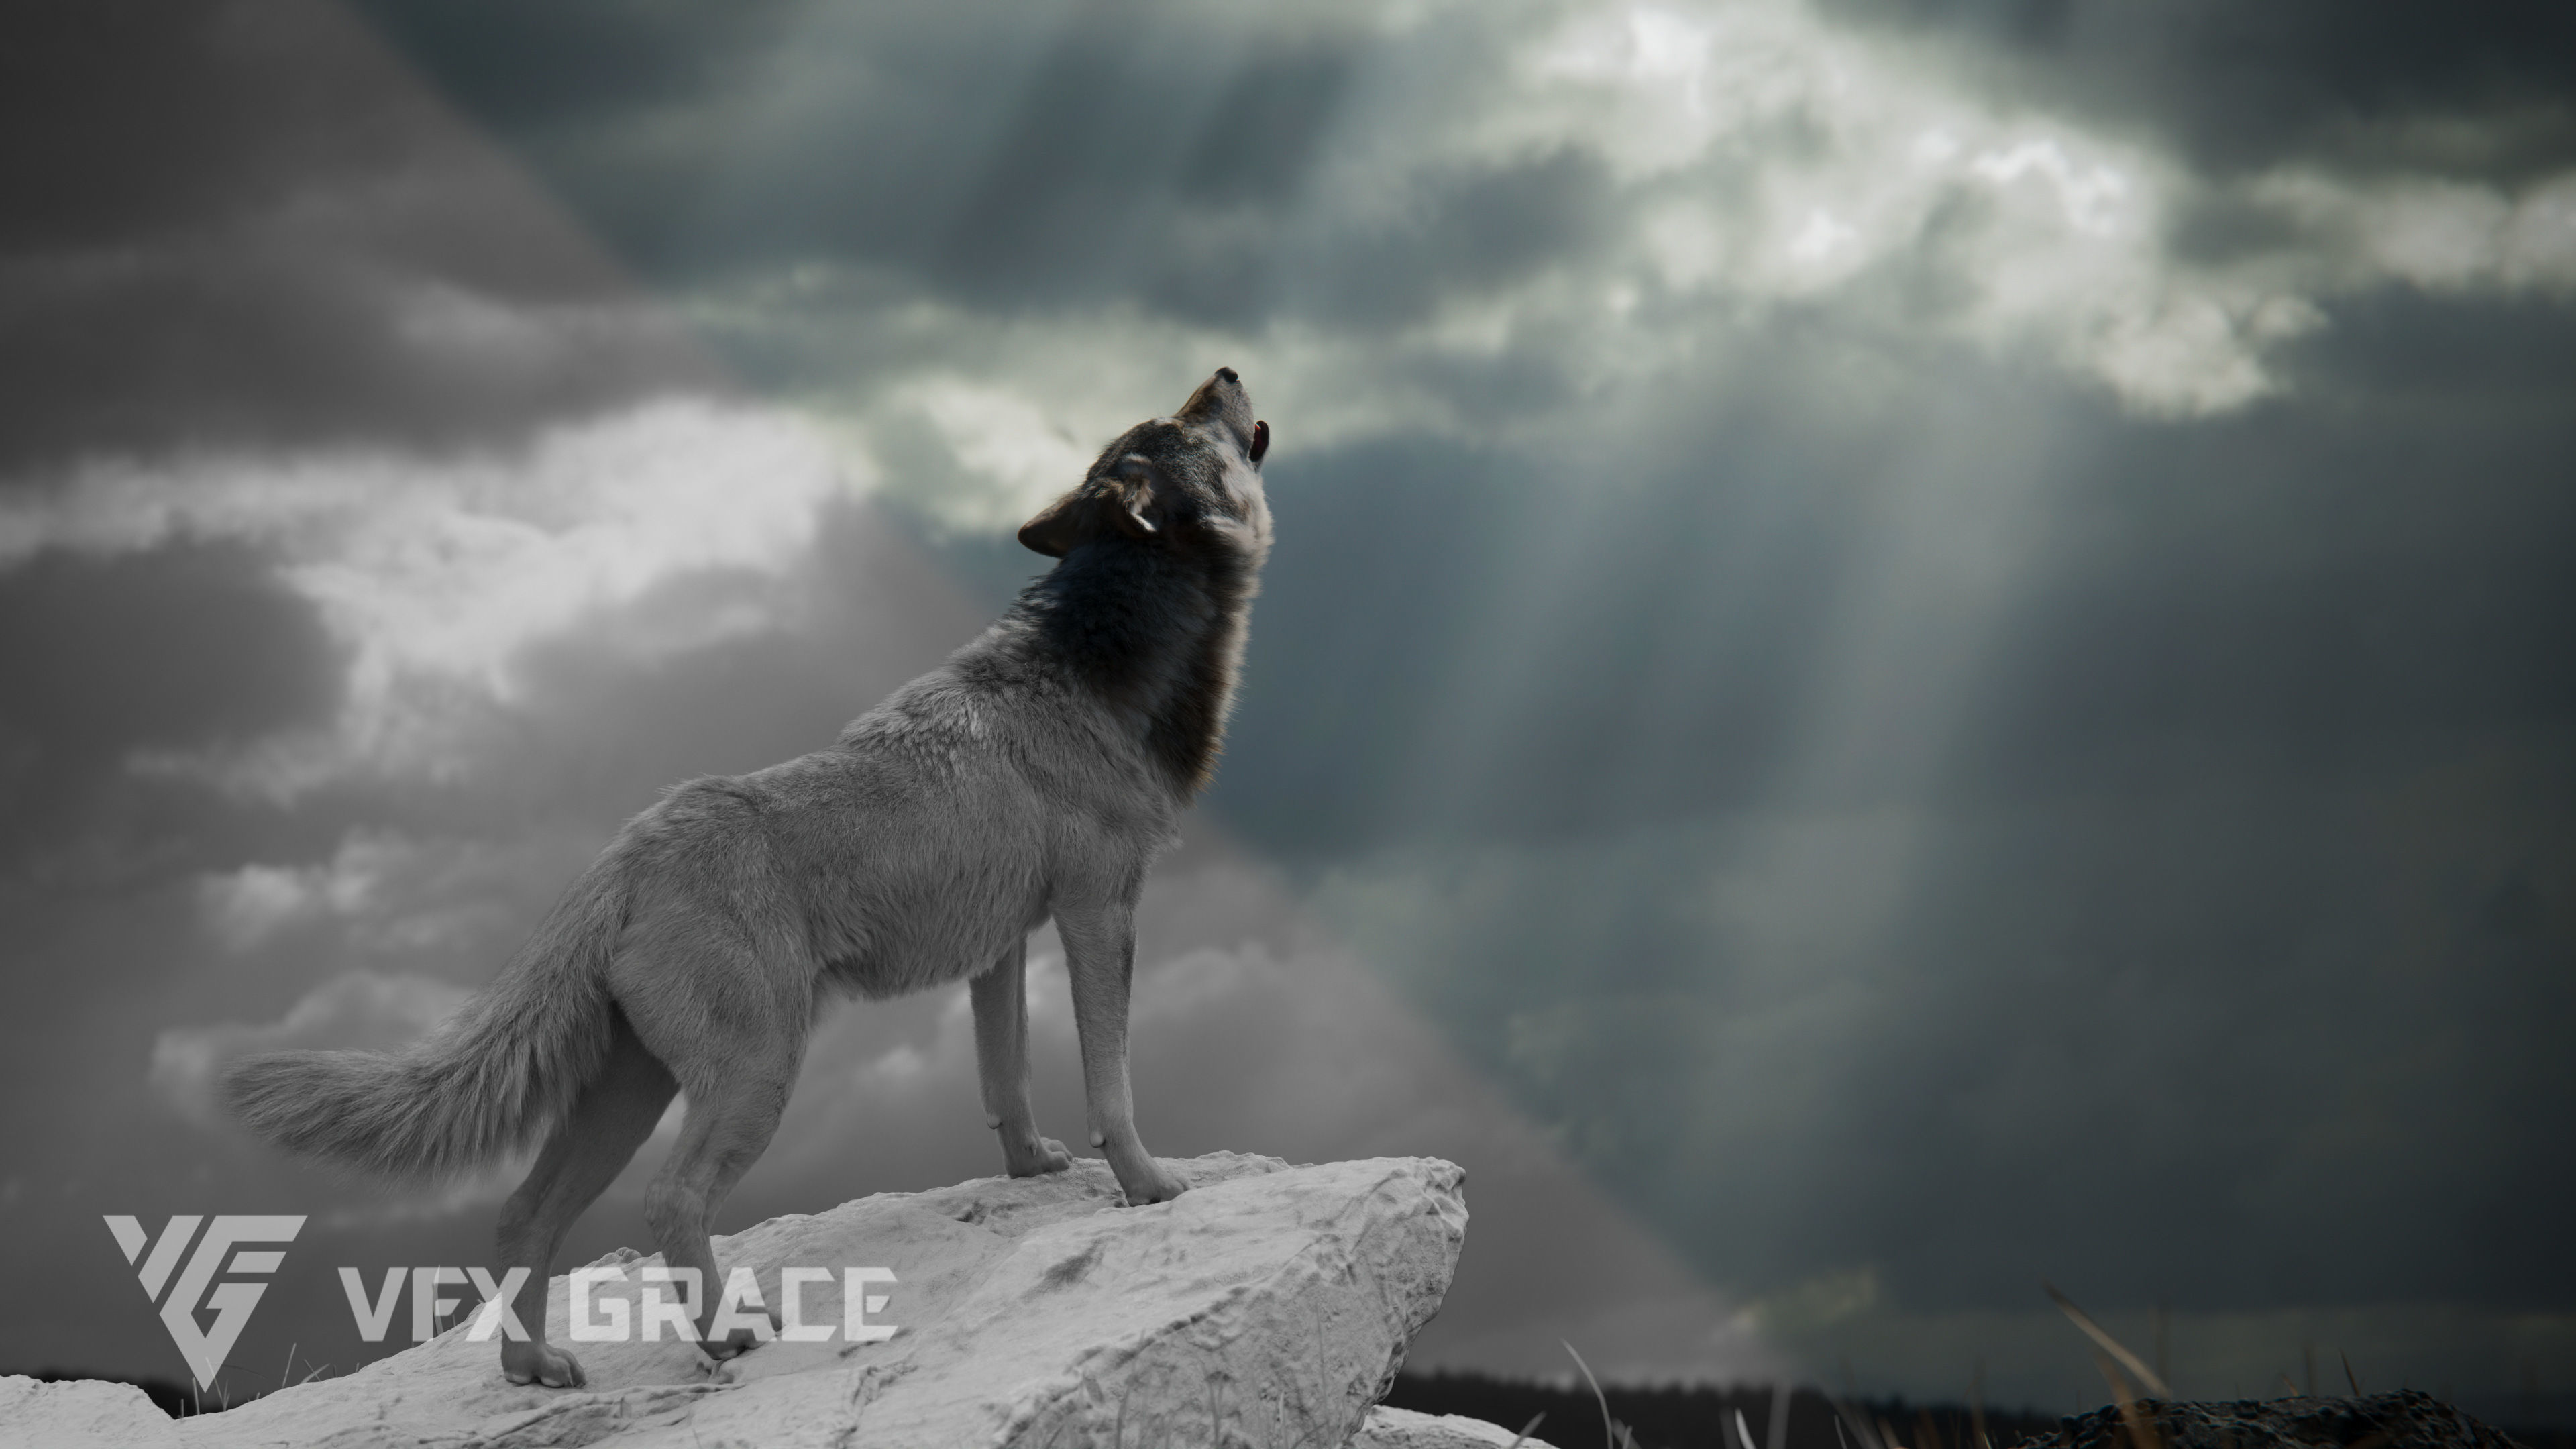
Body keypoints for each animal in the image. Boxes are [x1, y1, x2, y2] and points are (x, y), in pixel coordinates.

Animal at [223, 370, 1273, 1387]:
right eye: (1181, 419)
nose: (1226, 368)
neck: (1098, 660)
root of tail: (624, 856)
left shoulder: (1003, 944)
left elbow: (1003, 1076)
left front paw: (1031, 1169)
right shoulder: (1101, 913)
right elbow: (1112, 1084)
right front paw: (1149, 1185)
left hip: (630, 1095)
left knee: (525, 1213)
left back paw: (537, 1368)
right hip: (756, 1080)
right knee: (668, 1199)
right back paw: (728, 1334)